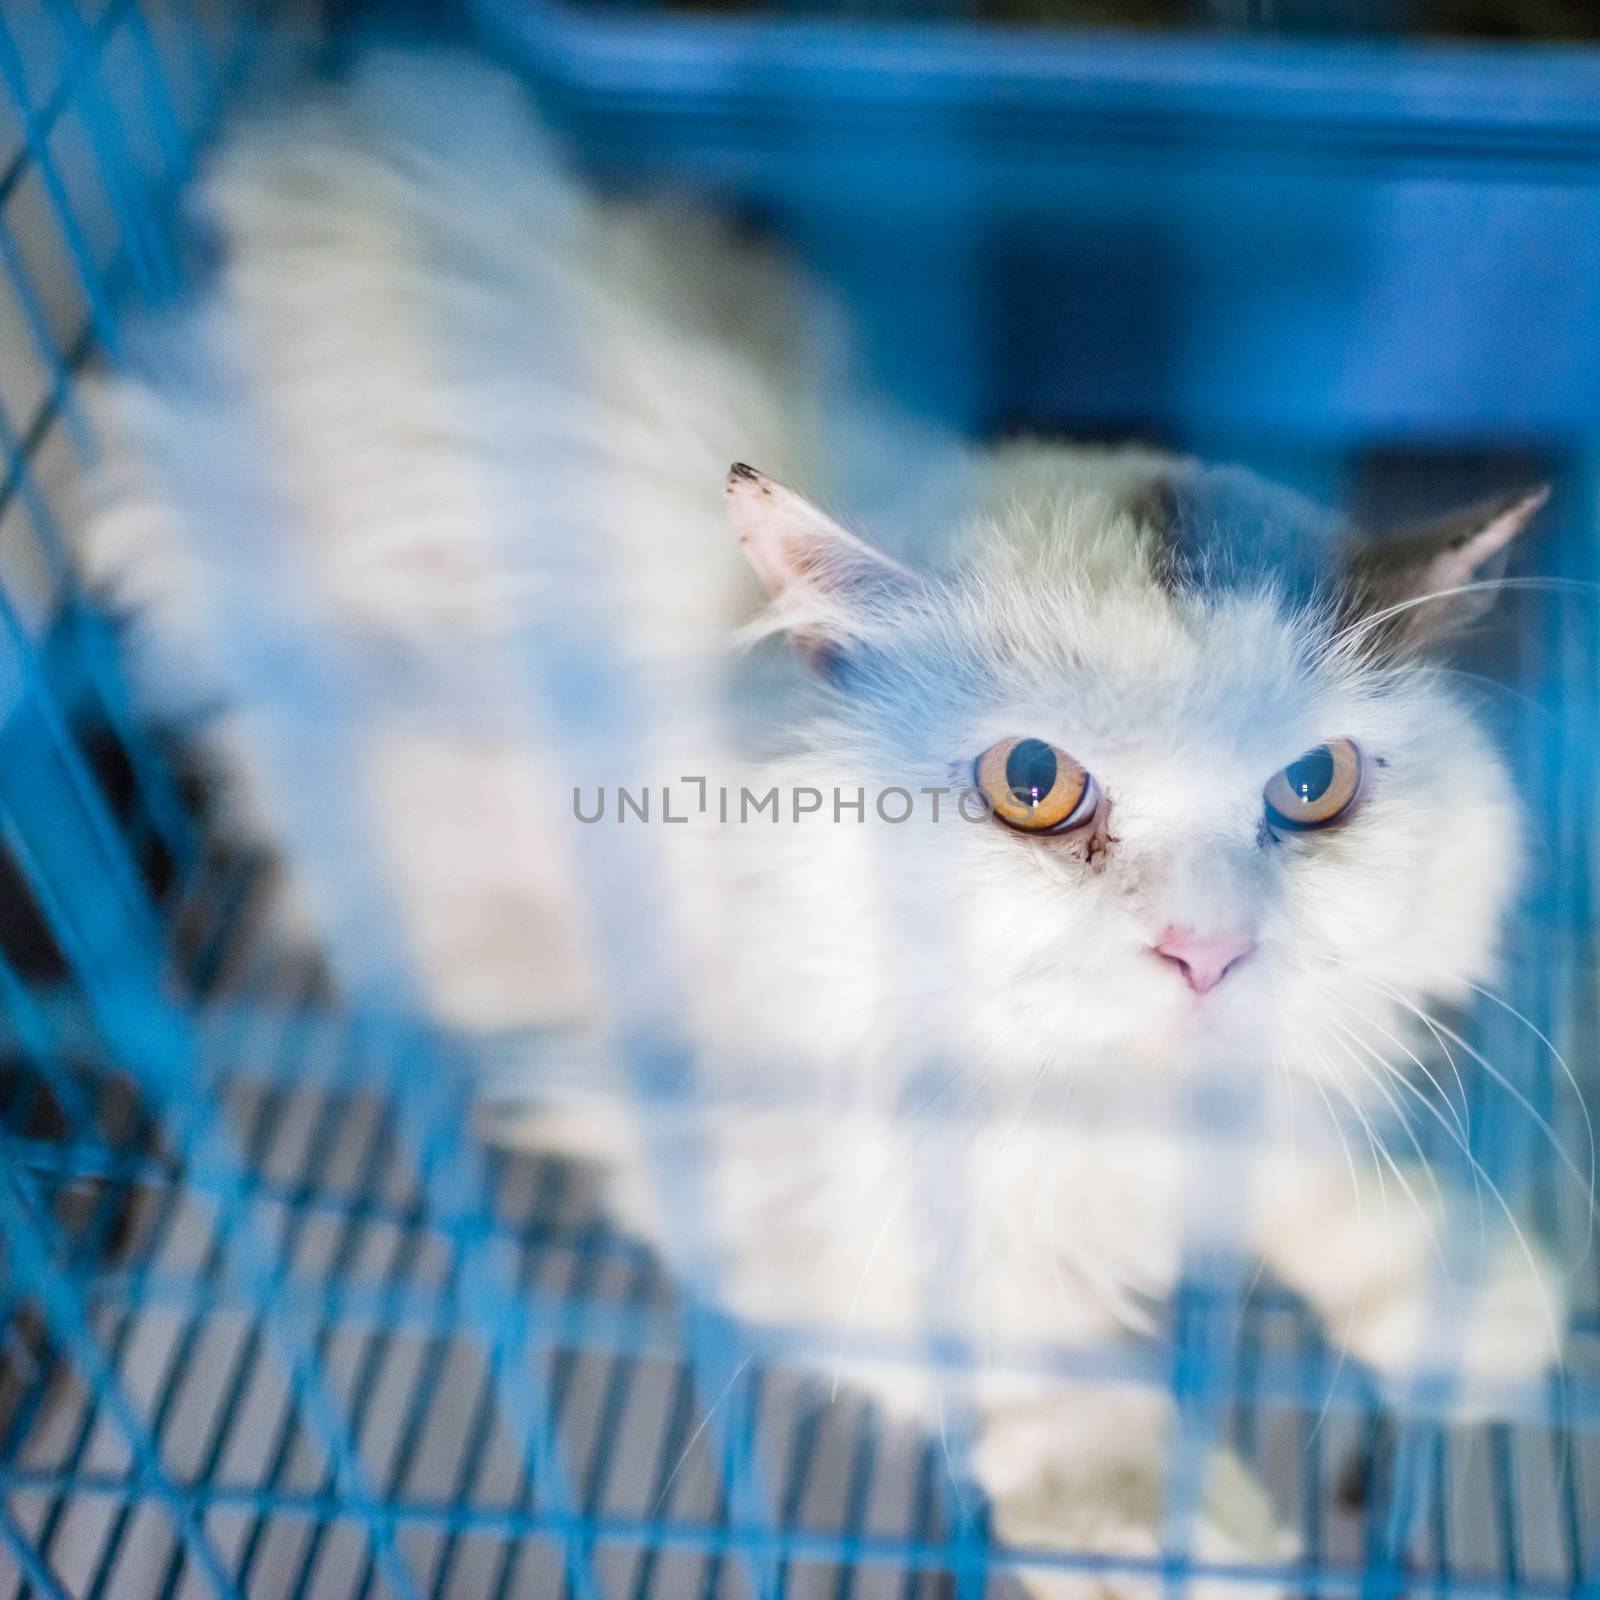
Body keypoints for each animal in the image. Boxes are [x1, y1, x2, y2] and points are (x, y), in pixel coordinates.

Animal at [75, 50, 1561, 1600]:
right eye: (1035, 780)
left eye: (1310, 783)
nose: (1206, 952)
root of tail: (315, 134)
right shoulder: (789, 1194)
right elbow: (1031, 1359)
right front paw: (1161, 1529)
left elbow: (1323, 1171)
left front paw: (1471, 1300)